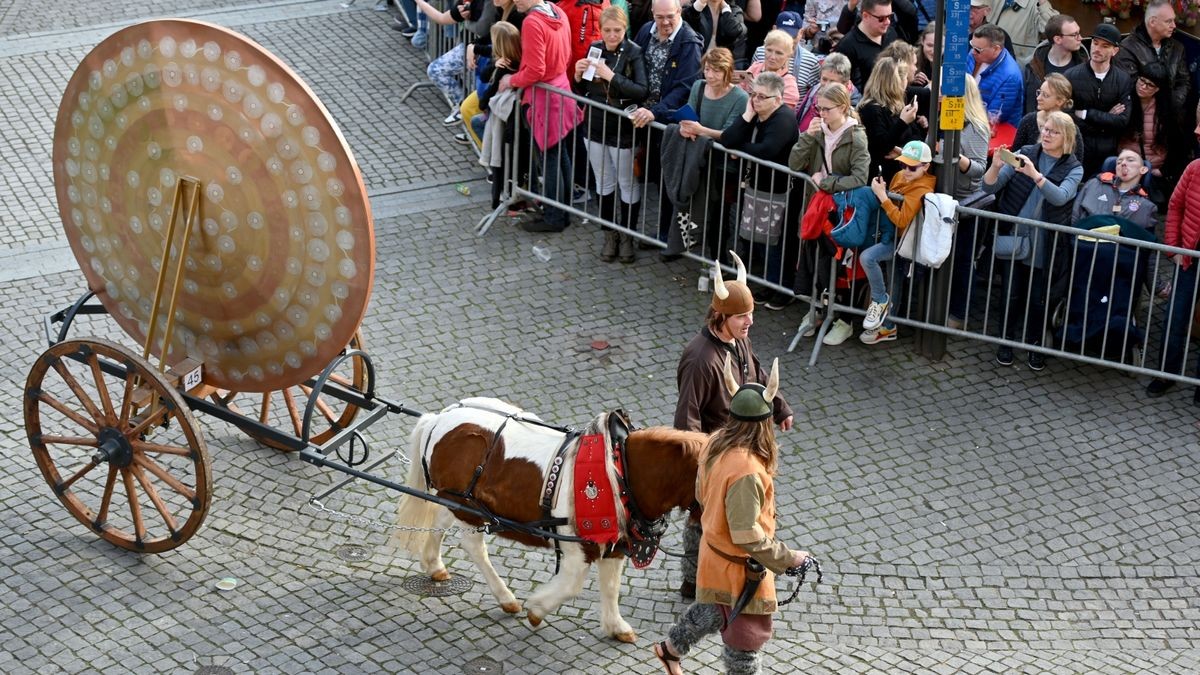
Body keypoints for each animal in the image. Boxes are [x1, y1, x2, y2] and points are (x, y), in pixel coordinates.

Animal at [393, 396, 705, 638]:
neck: (619, 473)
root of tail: (438, 419)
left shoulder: (615, 544)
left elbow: (611, 586)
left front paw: (616, 626)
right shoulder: (578, 547)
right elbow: (572, 584)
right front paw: (537, 609)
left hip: (456, 501)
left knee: (440, 523)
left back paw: (435, 565)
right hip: (467, 510)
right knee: (474, 547)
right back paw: (506, 598)